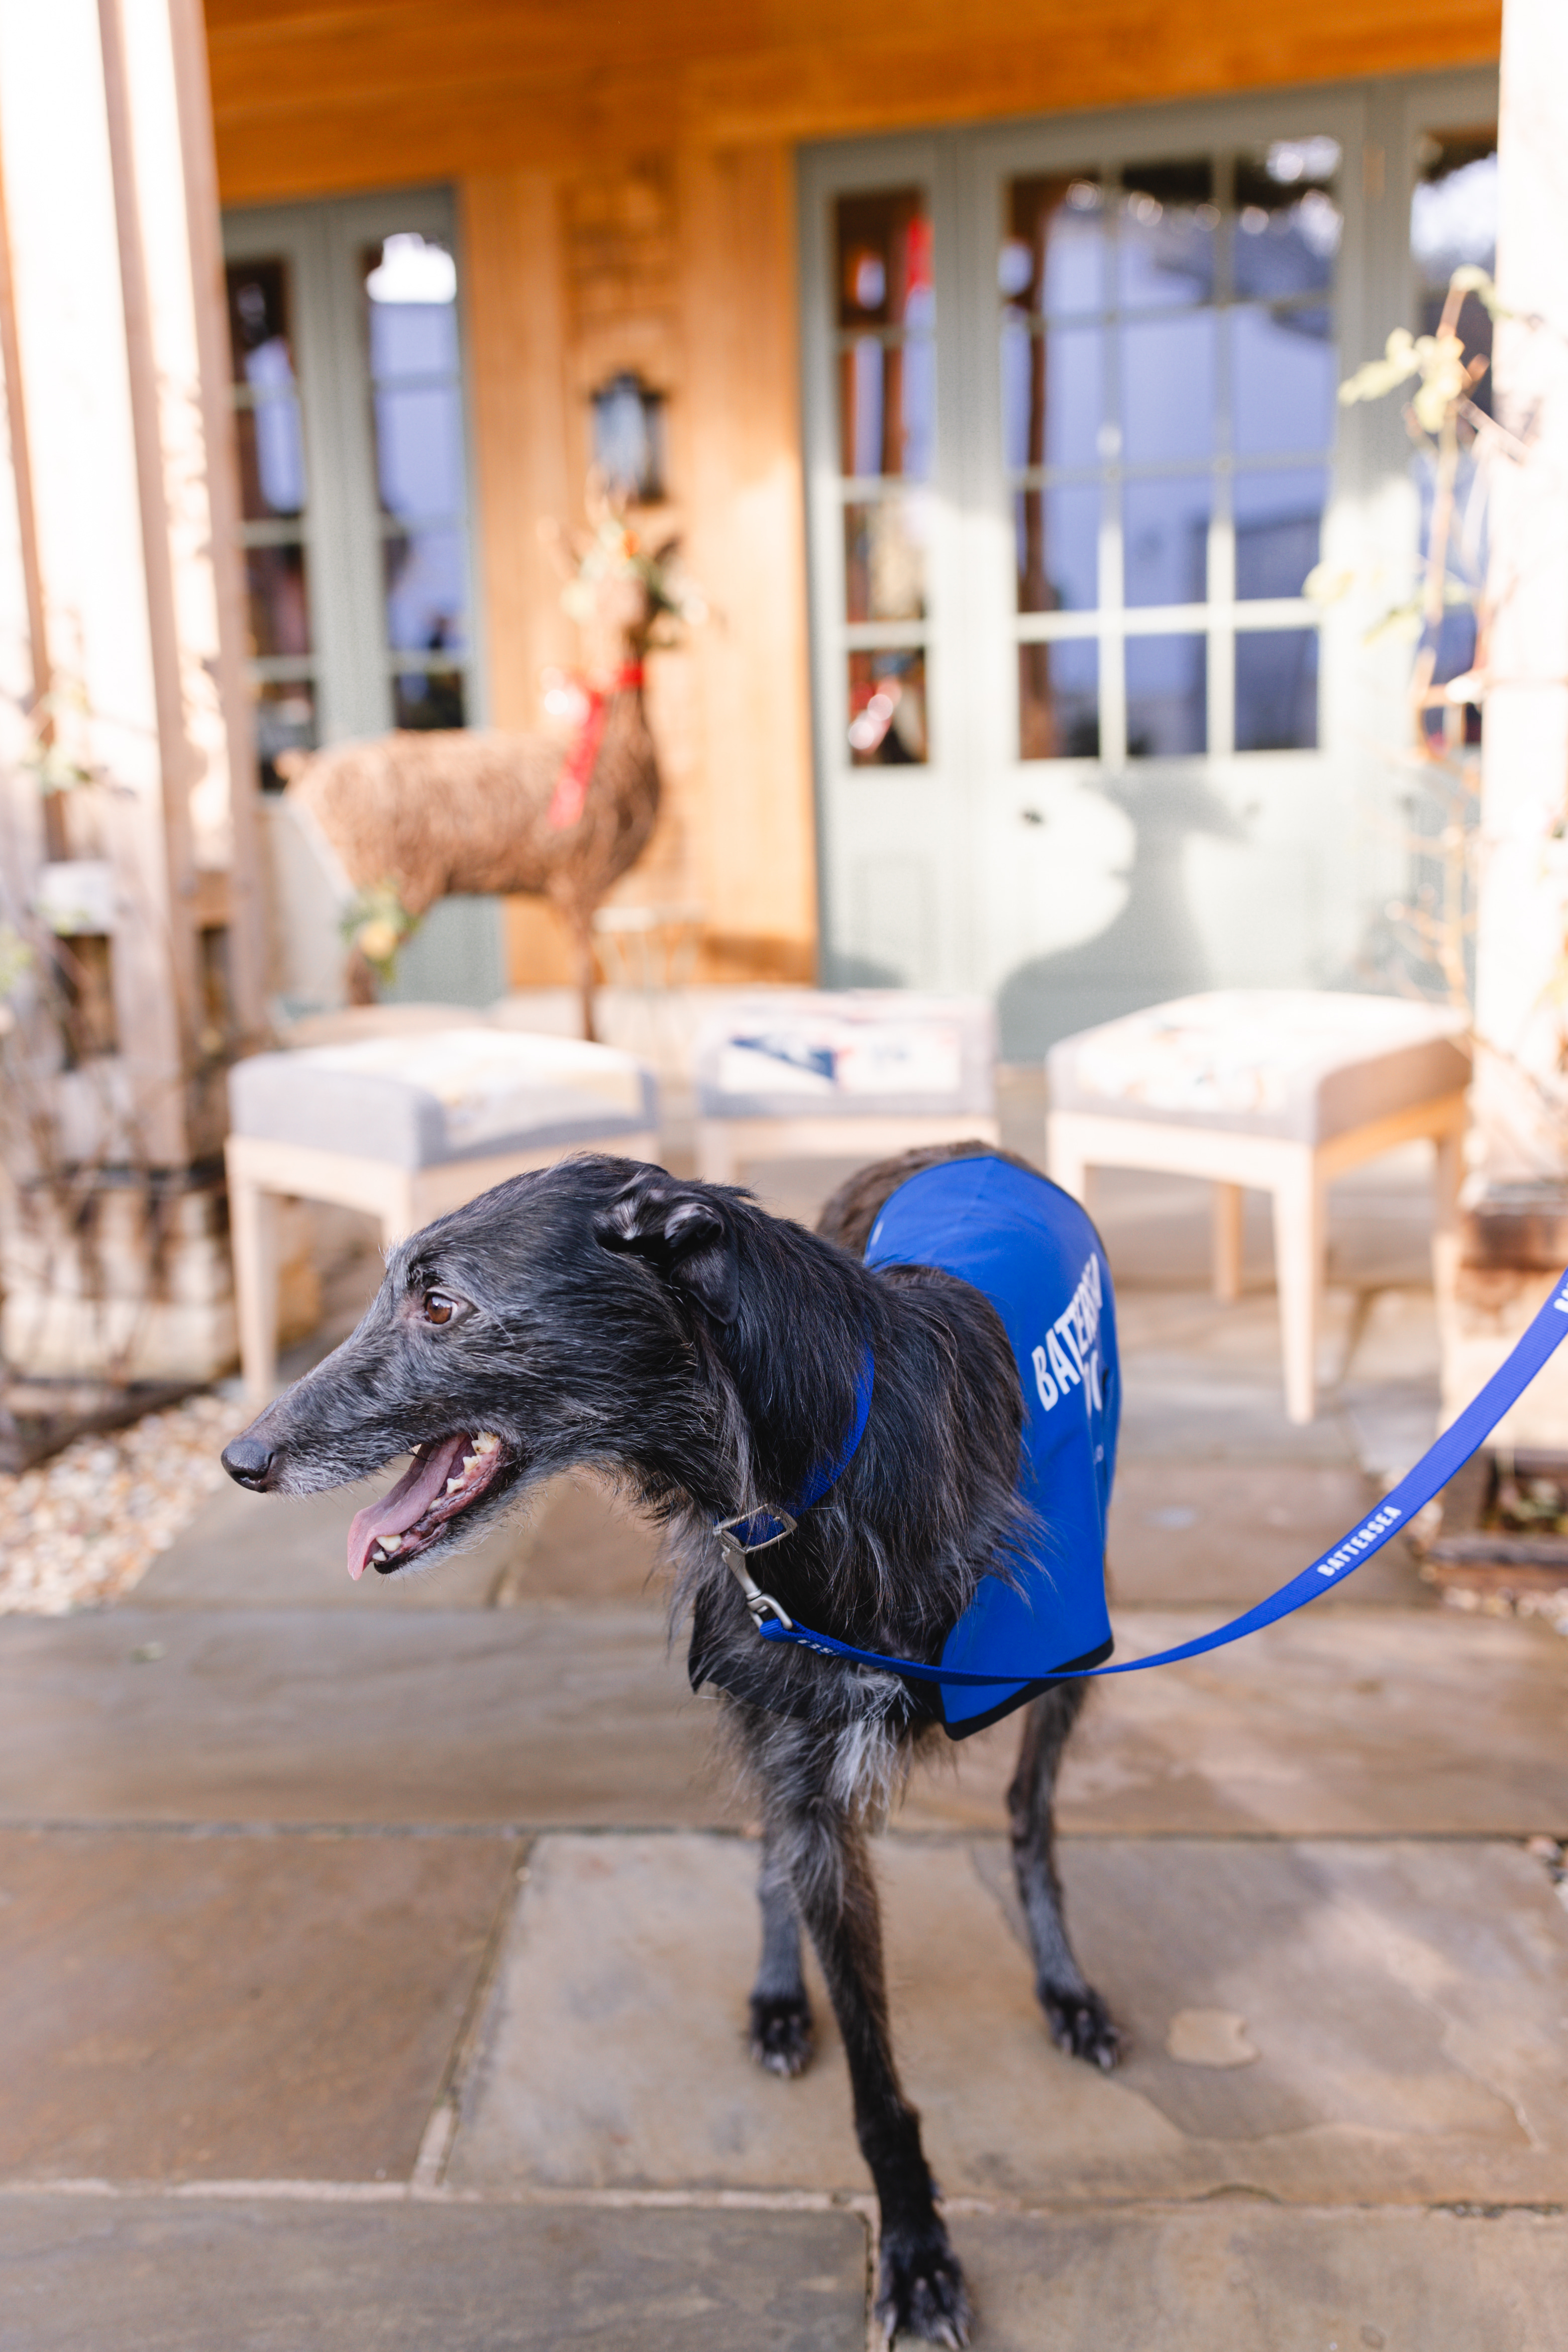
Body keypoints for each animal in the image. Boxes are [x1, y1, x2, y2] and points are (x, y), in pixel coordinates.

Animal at [227, 1138, 1123, 2333]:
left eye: (440, 1302)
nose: (240, 1458)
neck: (828, 1467)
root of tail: (965, 1148)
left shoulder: (1056, 1659)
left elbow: (1024, 1829)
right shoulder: (793, 1746)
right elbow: (857, 2030)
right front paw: (913, 2245)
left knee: (1029, 1813)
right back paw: (781, 1997)